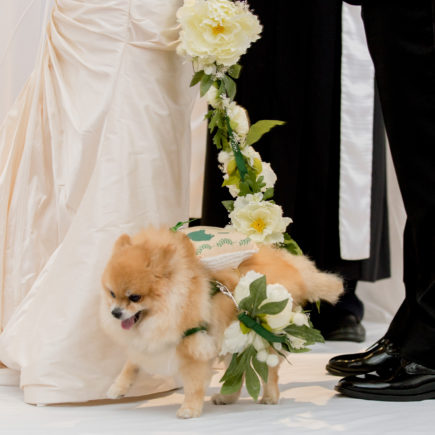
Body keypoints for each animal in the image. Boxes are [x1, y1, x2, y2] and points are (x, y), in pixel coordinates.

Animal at [101, 227, 344, 418]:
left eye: (135, 297)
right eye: (112, 294)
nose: (115, 312)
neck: (172, 302)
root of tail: (296, 270)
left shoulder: (193, 346)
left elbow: (194, 384)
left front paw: (190, 409)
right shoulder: (152, 341)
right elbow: (131, 364)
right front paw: (117, 388)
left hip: (261, 339)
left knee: (270, 373)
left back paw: (269, 397)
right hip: (233, 340)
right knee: (238, 373)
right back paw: (227, 398)